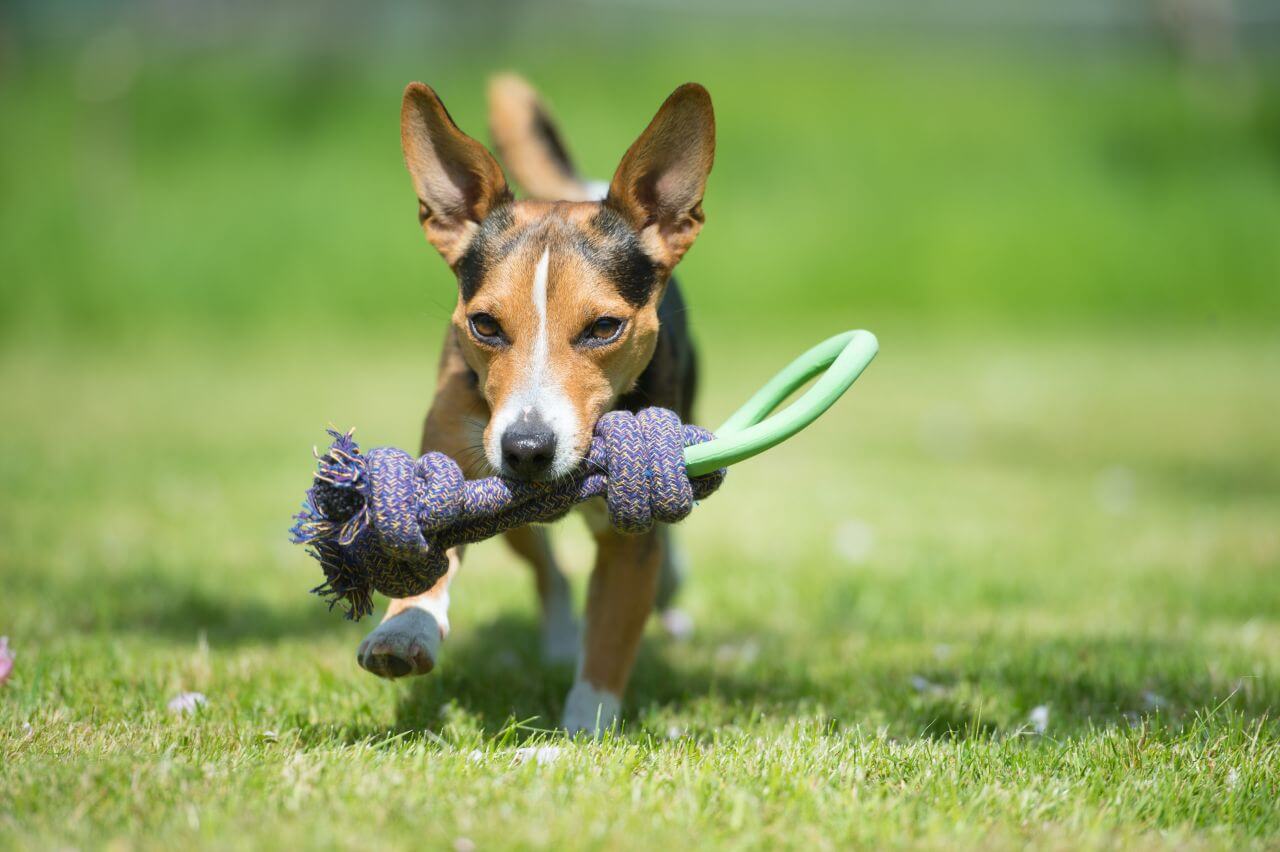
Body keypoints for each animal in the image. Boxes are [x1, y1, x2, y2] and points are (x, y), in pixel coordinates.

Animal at [355, 76, 716, 731]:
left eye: (604, 327)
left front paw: (585, 726)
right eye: (484, 324)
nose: (526, 449)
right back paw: (558, 639)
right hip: (512, 520)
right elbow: (430, 547)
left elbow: (611, 638)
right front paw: (406, 628)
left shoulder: (629, 542)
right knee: (550, 572)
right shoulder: (459, 460)